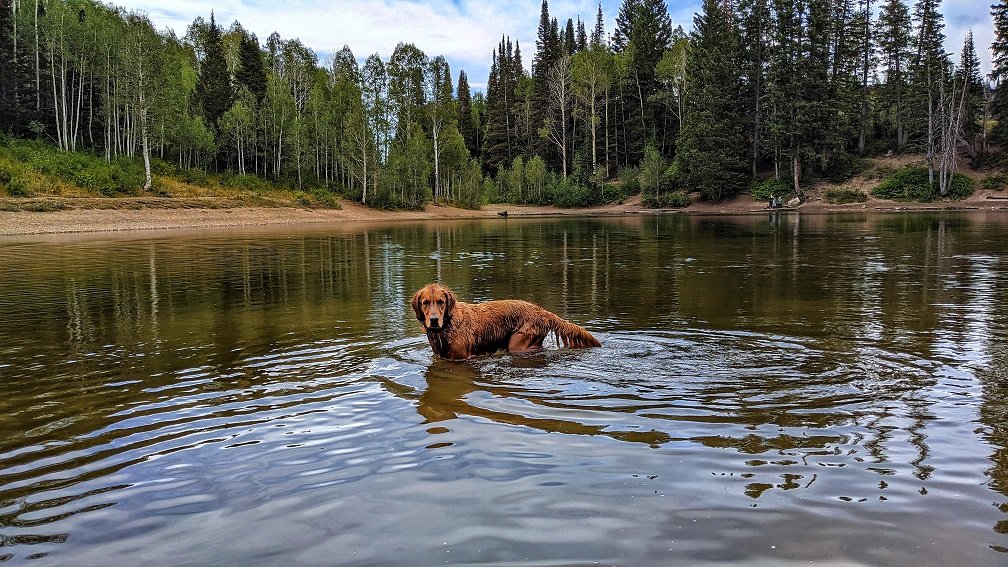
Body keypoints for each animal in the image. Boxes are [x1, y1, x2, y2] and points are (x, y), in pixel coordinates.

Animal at [409, 280, 596, 359]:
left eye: (441, 302)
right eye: (425, 303)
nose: (434, 320)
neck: (447, 325)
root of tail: (541, 311)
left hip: (519, 343)